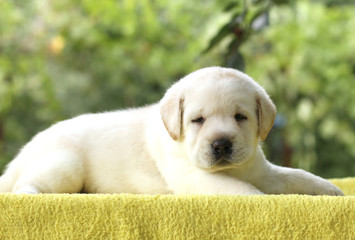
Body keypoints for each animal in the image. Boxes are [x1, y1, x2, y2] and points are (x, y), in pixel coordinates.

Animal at [0, 67, 344, 195]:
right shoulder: (197, 178)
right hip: (66, 165)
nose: (221, 144)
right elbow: (245, 192)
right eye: (198, 120)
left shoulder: (262, 171)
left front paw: (332, 191)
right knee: (25, 186)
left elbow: (296, 177)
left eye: (240, 117)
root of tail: (25, 149)